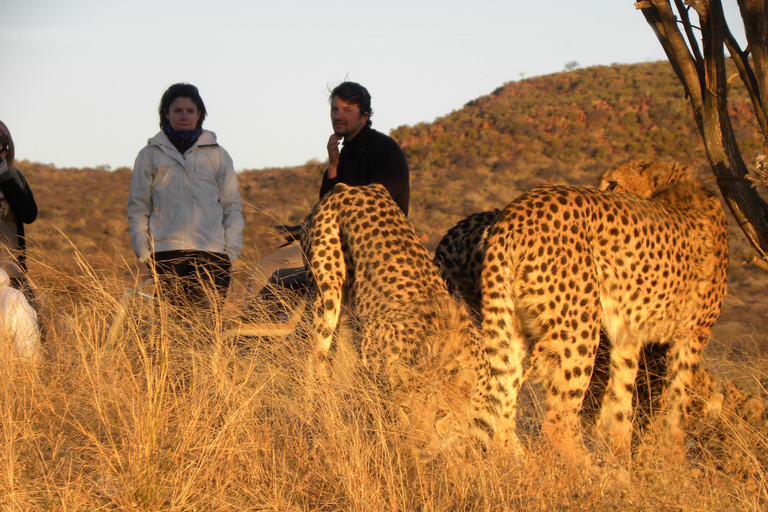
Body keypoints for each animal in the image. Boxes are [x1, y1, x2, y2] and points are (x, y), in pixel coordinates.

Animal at [302, 183, 492, 456]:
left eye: (441, 413)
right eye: (407, 409)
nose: (418, 443)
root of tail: (351, 186)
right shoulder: (371, 355)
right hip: (326, 296)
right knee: (314, 359)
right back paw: (317, 416)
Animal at [484, 175, 728, 456]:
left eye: (612, 182)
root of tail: (516, 213)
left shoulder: (629, 335)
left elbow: (622, 399)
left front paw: (620, 456)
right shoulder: (694, 336)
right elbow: (678, 405)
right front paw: (673, 458)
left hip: (511, 325)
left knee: (503, 405)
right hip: (579, 329)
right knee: (558, 421)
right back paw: (585, 465)